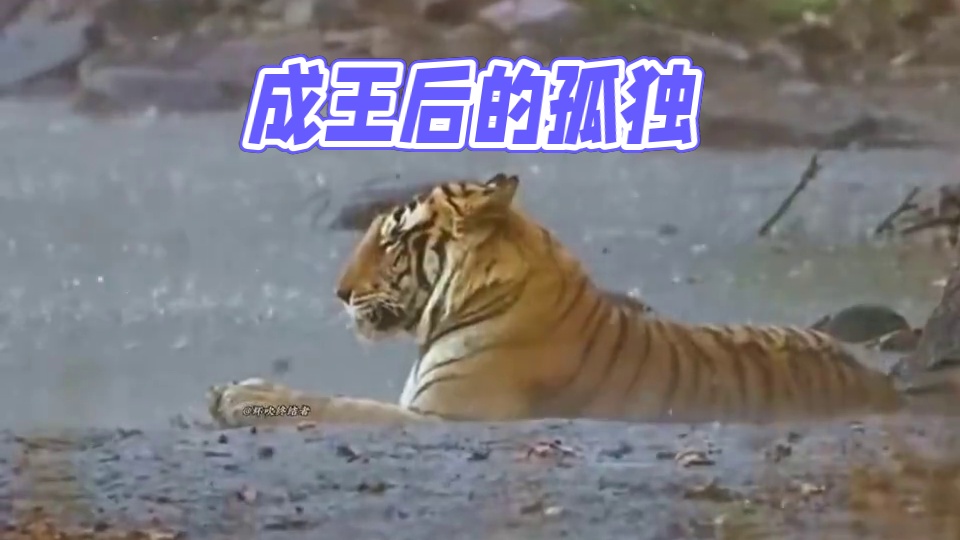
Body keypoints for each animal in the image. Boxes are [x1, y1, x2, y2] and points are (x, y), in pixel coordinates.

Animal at [208, 173, 920, 429]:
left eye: (391, 239)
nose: (340, 291)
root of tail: (884, 388)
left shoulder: (446, 416)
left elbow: (341, 404)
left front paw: (242, 396)